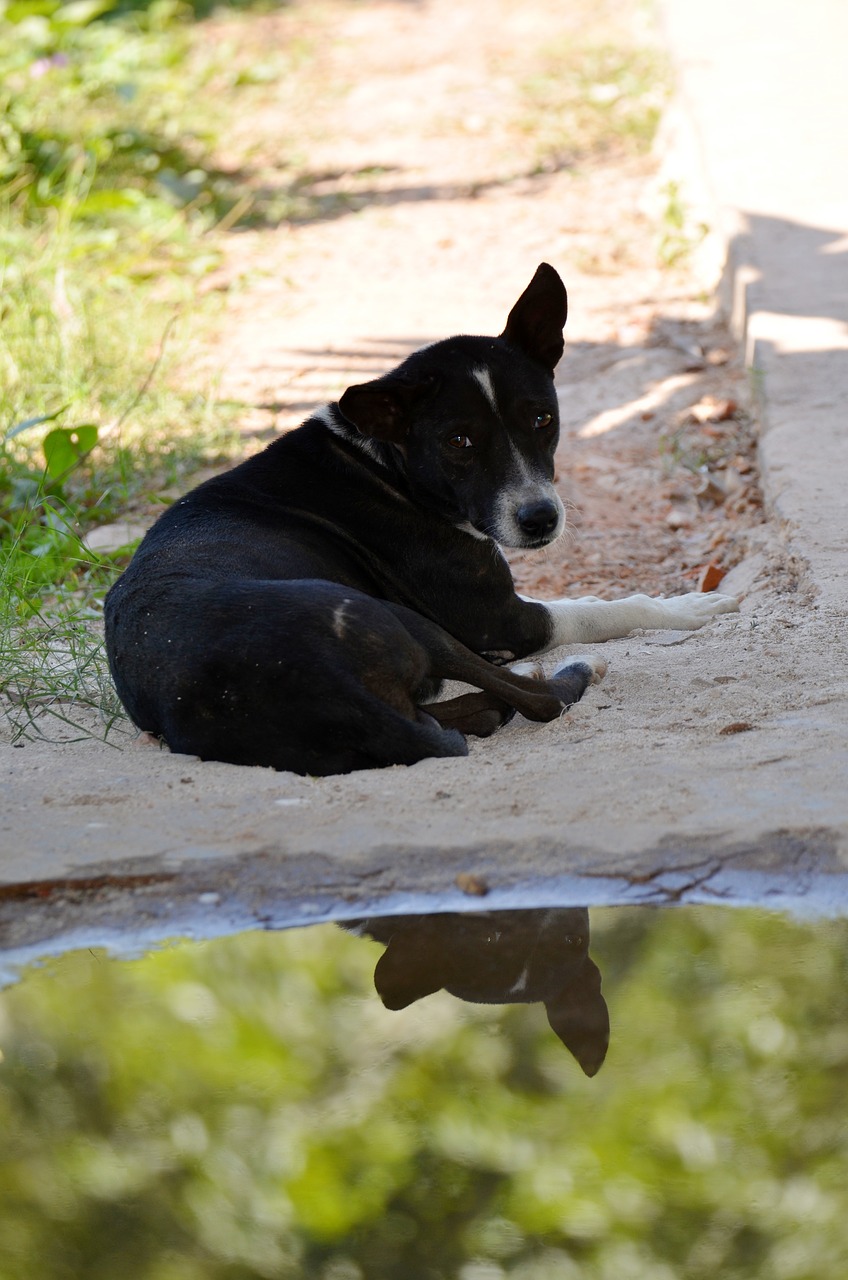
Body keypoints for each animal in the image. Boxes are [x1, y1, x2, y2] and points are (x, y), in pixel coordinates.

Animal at [106, 264, 742, 773]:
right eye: (459, 441)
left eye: (542, 418)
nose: (539, 519)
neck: (384, 462)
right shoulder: (497, 620)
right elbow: (598, 611)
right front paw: (686, 606)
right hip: (403, 618)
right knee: (538, 701)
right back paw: (571, 671)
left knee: (480, 710)